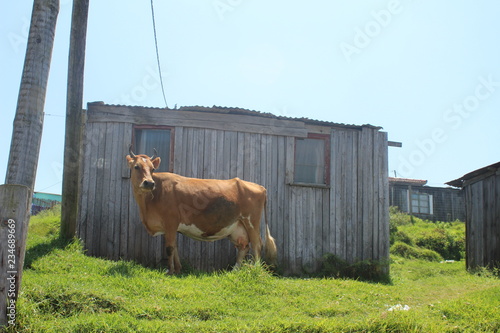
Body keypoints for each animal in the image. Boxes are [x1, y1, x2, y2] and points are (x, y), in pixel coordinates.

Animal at [123, 145, 276, 272]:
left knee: (257, 244)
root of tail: (259, 187)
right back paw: (234, 271)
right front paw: (178, 269)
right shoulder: (173, 226)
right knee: (243, 246)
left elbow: (169, 247)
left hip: (251, 222)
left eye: (152, 169)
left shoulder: (171, 221)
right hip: (237, 227)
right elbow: (175, 247)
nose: (149, 183)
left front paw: (170, 270)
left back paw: (256, 269)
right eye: (136, 166)